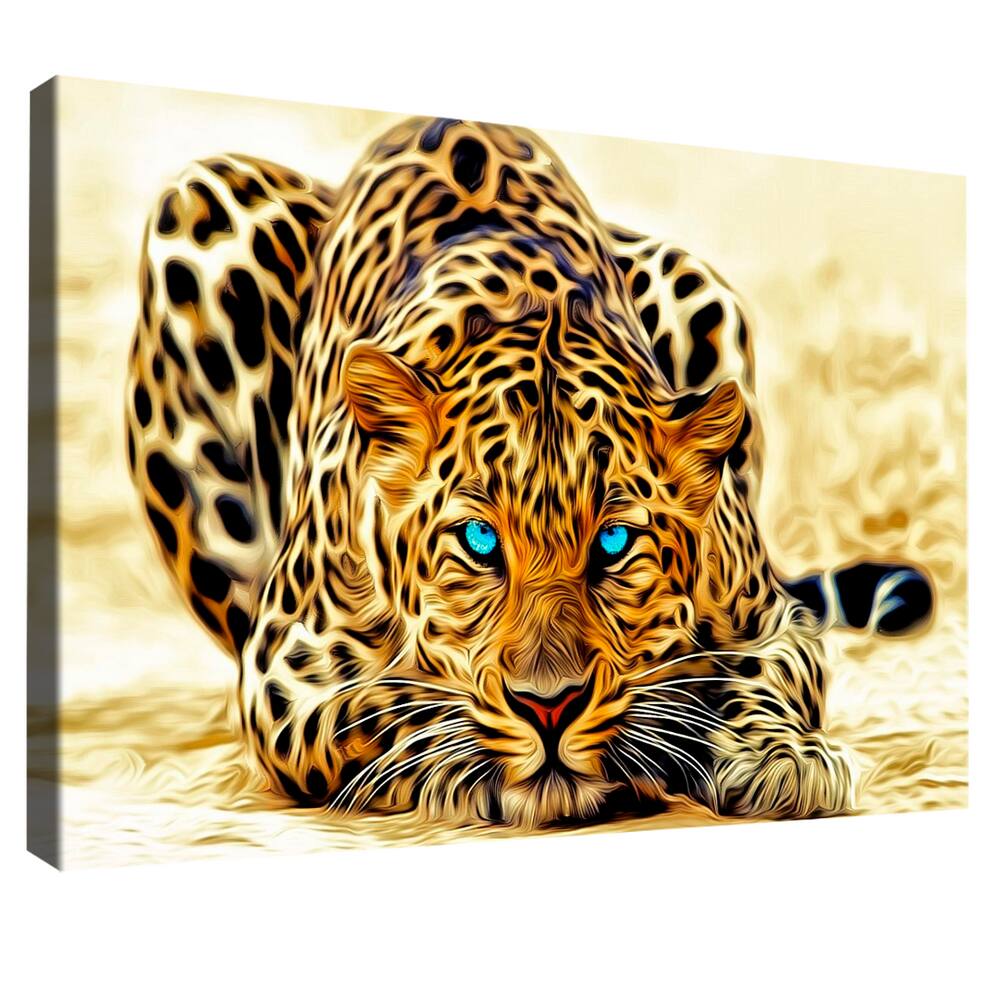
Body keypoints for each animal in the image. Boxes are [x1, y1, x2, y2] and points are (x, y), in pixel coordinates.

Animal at [125, 116, 933, 829]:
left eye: (613, 544)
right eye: (479, 542)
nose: (550, 706)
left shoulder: (771, 620)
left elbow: (759, 679)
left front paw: (782, 758)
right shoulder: (286, 670)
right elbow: (386, 708)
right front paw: (464, 761)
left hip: (696, 281)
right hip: (199, 205)